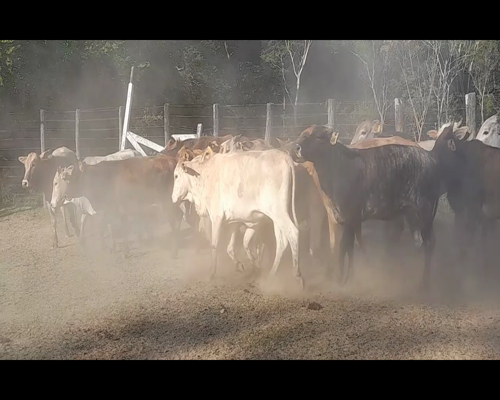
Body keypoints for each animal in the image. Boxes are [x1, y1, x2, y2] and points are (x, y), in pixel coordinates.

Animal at [172, 149, 304, 288]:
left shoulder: (217, 218)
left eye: (176, 176)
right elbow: (232, 246)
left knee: (293, 233)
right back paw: (271, 275)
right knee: (282, 242)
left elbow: (215, 245)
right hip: (276, 218)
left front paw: (211, 273)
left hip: (280, 213)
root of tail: (285, 157)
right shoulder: (234, 221)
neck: (204, 174)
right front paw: (242, 264)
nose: (172, 197)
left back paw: (297, 276)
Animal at [292, 124, 442, 290]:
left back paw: (424, 283)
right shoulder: (344, 219)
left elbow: (343, 246)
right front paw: (349, 276)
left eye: (318, 136)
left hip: (425, 210)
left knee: (429, 242)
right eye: (303, 133)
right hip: (411, 211)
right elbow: (346, 246)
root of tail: (430, 158)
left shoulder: (350, 217)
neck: (338, 167)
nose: (295, 148)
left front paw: (340, 278)